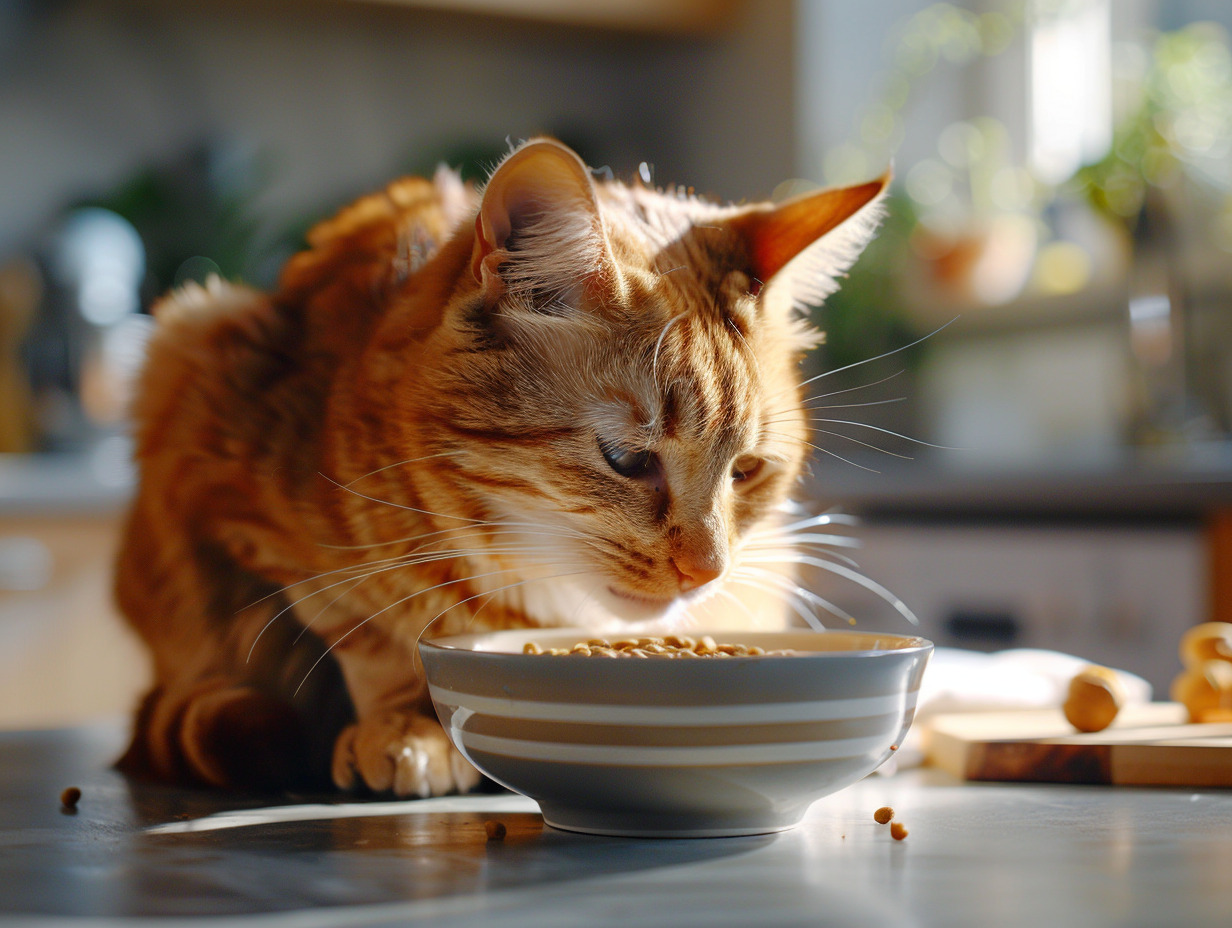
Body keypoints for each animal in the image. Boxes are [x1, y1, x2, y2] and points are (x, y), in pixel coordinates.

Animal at [113, 139, 887, 798]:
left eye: (747, 471)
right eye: (627, 460)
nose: (707, 572)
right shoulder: (238, 471)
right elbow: (367, 632)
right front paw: (407, 723)